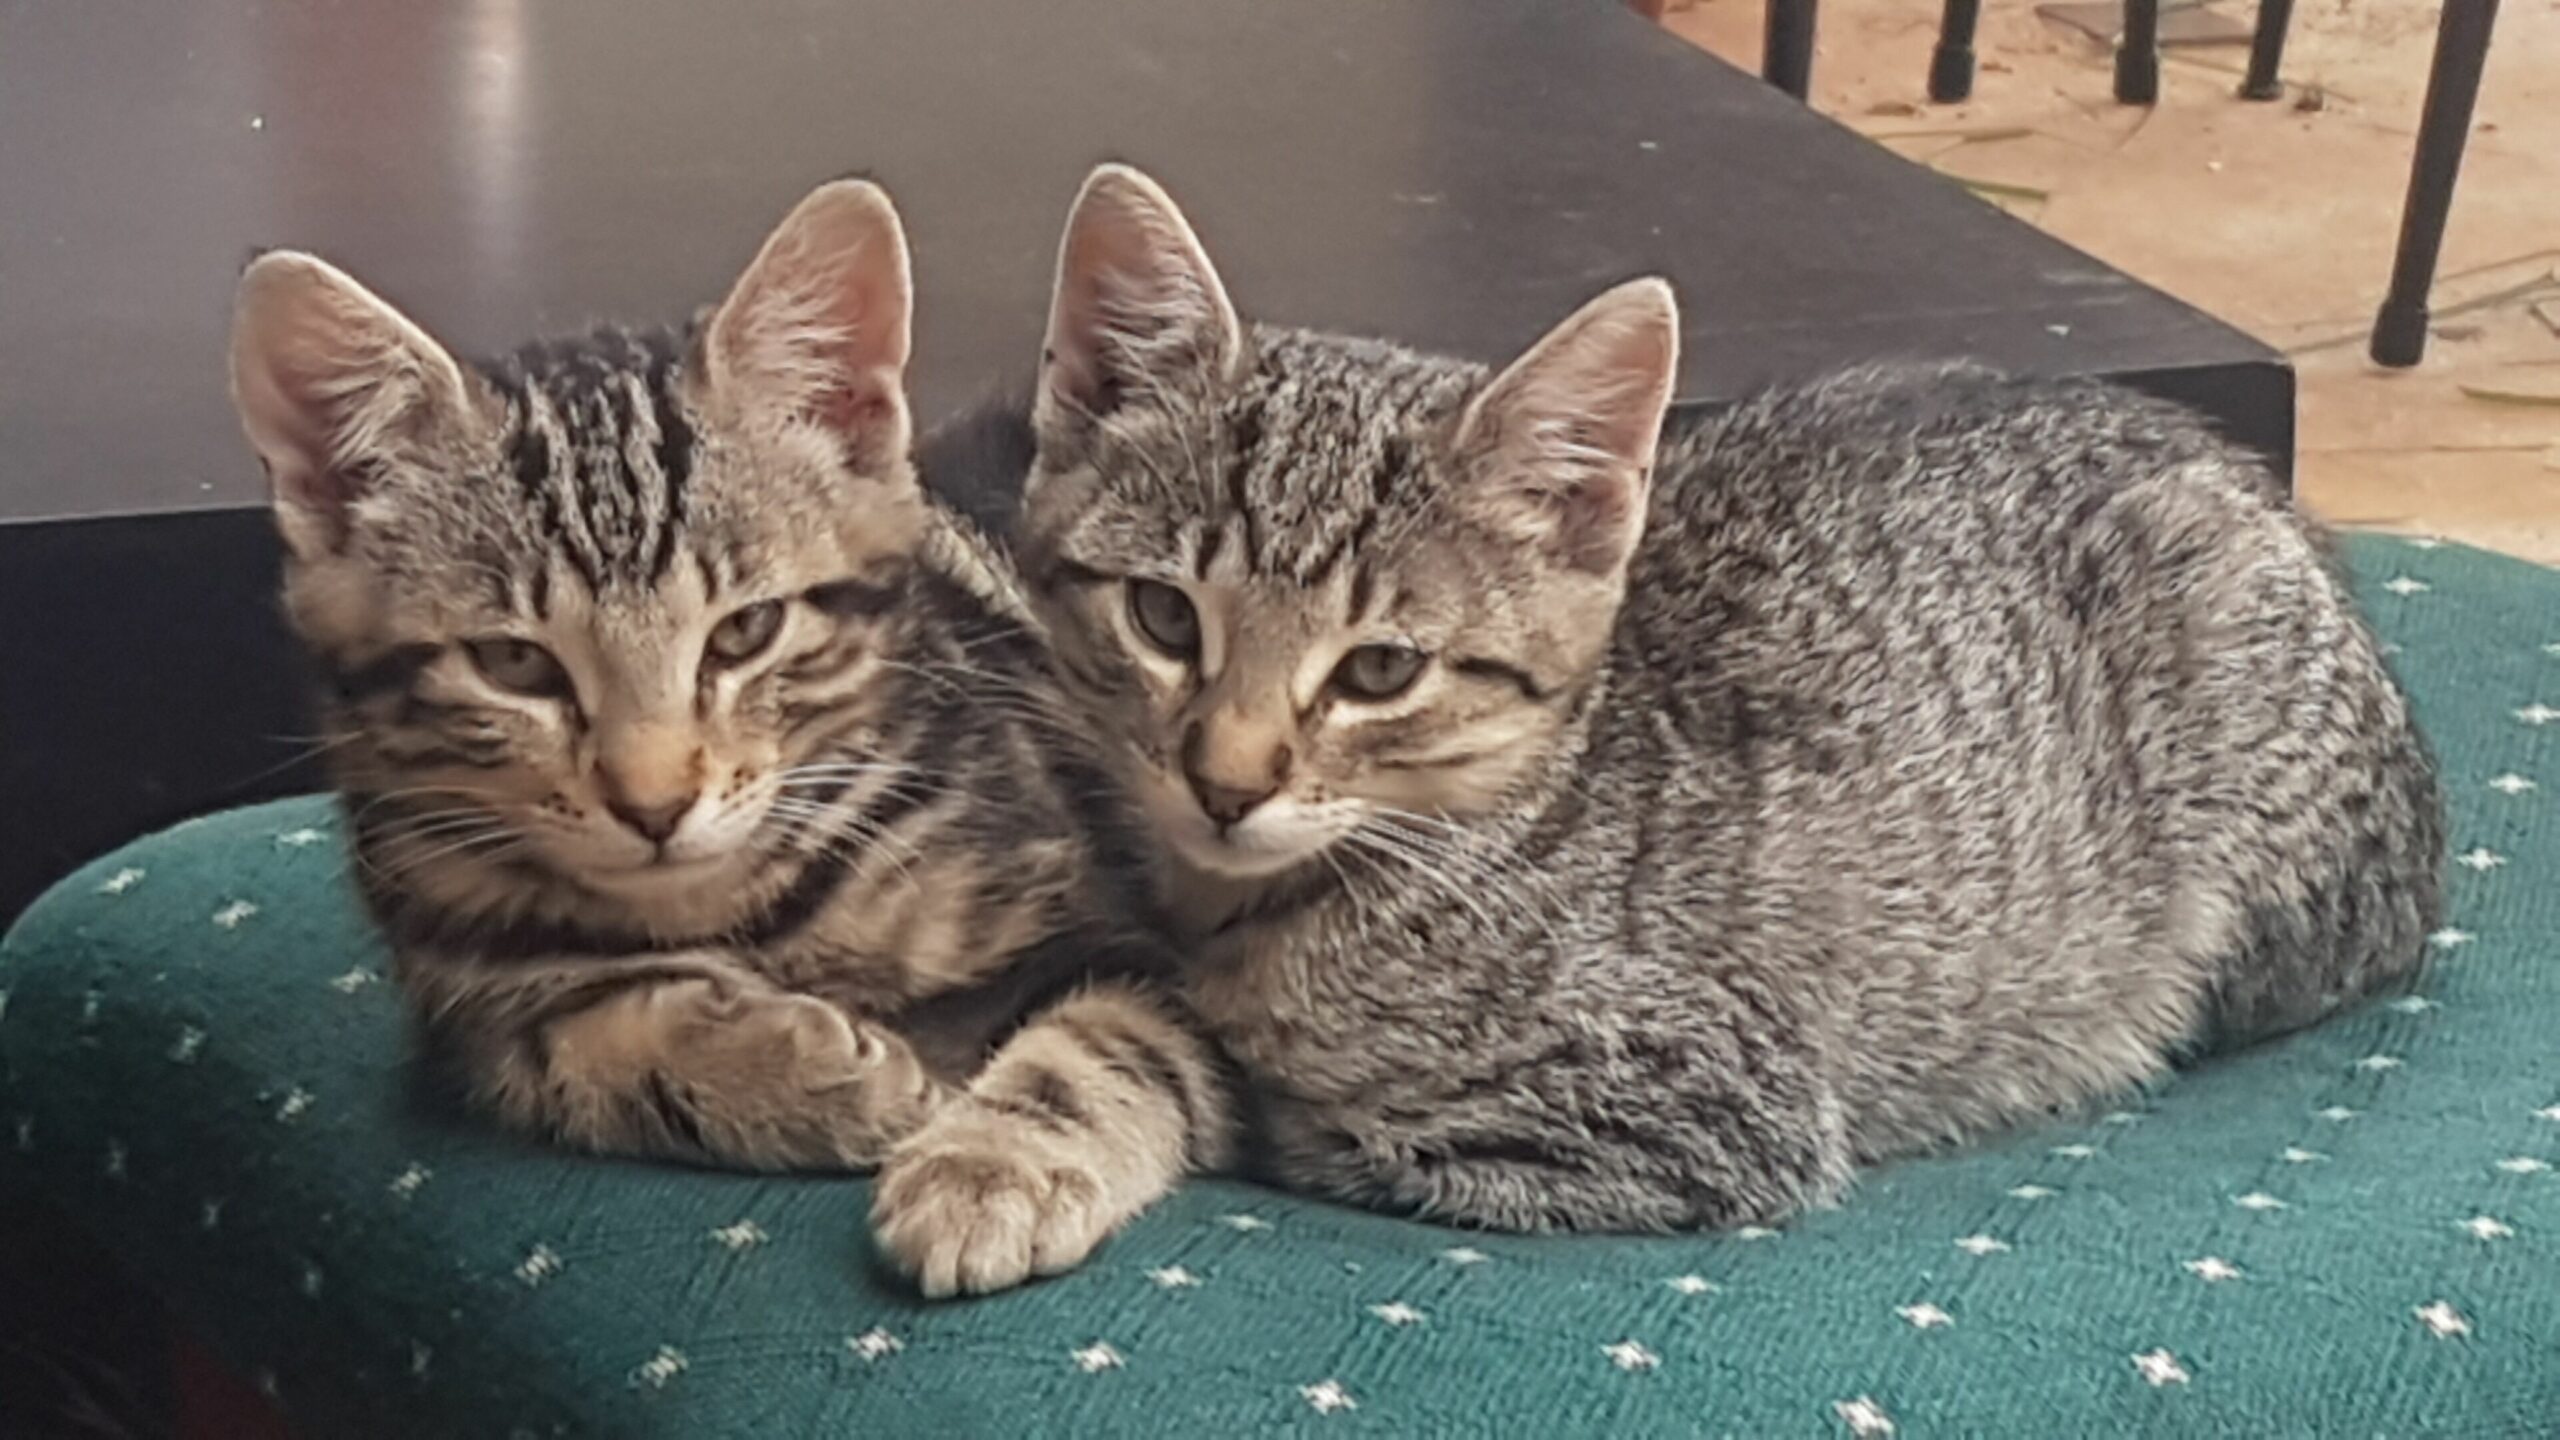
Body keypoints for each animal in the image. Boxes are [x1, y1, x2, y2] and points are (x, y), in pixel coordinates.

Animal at [232, 179, 1228, 1291]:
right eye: (514, 665)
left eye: (746, 632)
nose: (655, 804)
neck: (740, 913)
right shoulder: (461, 996)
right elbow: (562, 1048)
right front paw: (818, 1074)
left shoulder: (1140, 942)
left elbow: (1105, 1040)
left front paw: (990, 1168)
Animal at [998, 165, 2437, 1219]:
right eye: (1164, 616)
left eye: (1379, 670)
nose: (1225, 783)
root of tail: (2244, 477)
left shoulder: (1703, 1106)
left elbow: (1300, 1114)